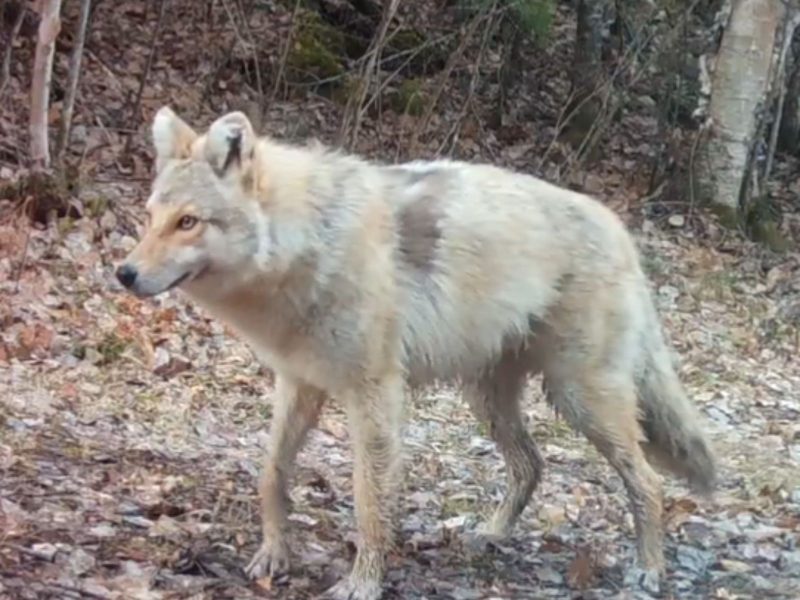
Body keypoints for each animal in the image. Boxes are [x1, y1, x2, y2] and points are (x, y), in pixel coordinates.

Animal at [114, 105, 720, 596]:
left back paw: (648, 571)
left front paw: (362, 583)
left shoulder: (375, 393)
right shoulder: (299, 383)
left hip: (579, 398)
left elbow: (369, 501)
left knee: (647, 481)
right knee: (532, 465)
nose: (124, 273)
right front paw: (273, 555)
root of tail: (621, 230)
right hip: (490, 400)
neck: (308, 244)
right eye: (149, 219)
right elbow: (272, 474)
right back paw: (490, 536)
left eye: (188, 222)